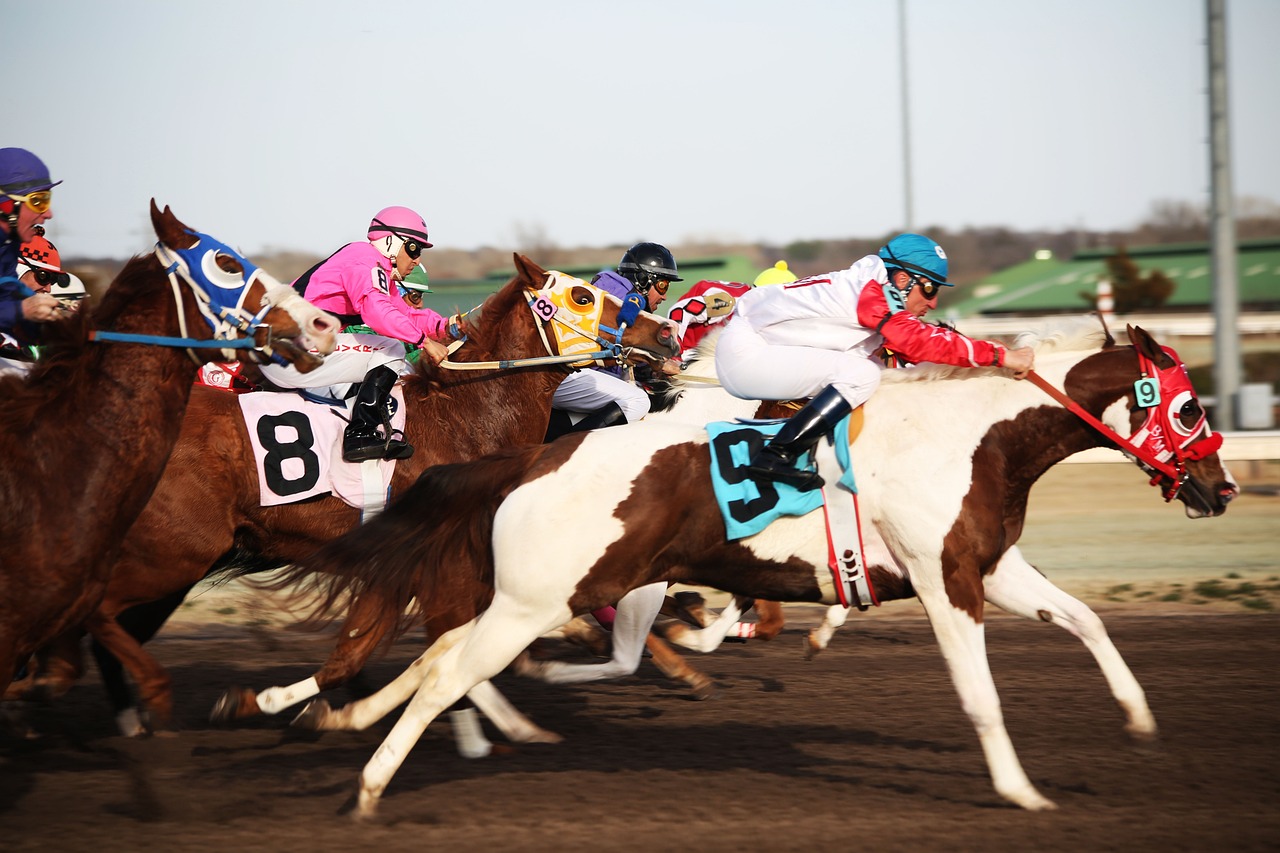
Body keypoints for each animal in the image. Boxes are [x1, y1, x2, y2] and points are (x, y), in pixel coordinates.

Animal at [17, 252, 680, 732]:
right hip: (175, 551)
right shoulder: (424, 561)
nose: (669, 337)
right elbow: (392, 652)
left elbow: (364, 654)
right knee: (93, 607)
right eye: (584, 296)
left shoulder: (402, 562)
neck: (466, 415)